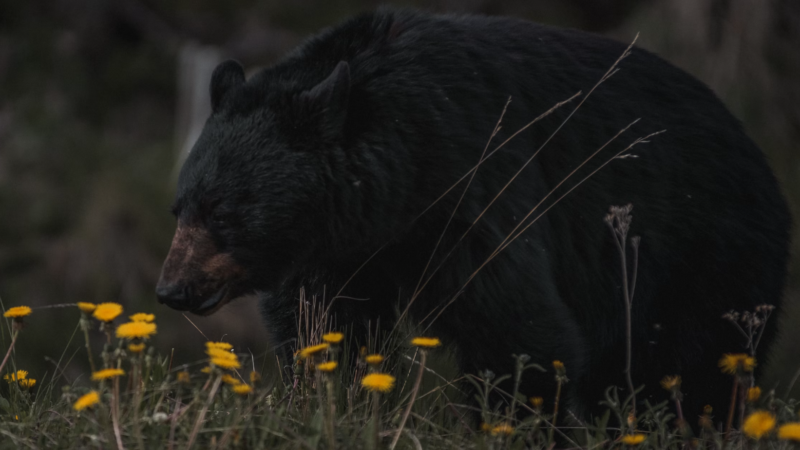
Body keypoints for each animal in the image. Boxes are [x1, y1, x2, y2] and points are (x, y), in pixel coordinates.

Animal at [155, 9, 790, 423]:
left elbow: (518, 328)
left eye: (224, 212)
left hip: (703, 257)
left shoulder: (473, 188)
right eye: (181, 206)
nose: (173, 288)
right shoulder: (338, 248)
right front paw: (331, 404)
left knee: (693, 366)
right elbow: (325, 328)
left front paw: (516, 423)